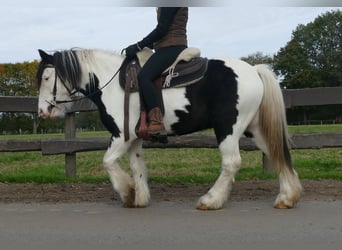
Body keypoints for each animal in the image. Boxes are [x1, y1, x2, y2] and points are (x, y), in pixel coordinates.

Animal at [35, 47, 302, 210]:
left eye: (47, 78)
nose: (43, 112)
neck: (114, 84)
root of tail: (254, 70)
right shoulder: (134, 138)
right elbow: (137, 166)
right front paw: (140, 198)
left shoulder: (121, 136)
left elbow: (108, 162)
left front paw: (127, 192)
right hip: (254, 128)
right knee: (277, 154)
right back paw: (287, 197)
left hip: (228, 129)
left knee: (232, 163)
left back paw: (211, 200)